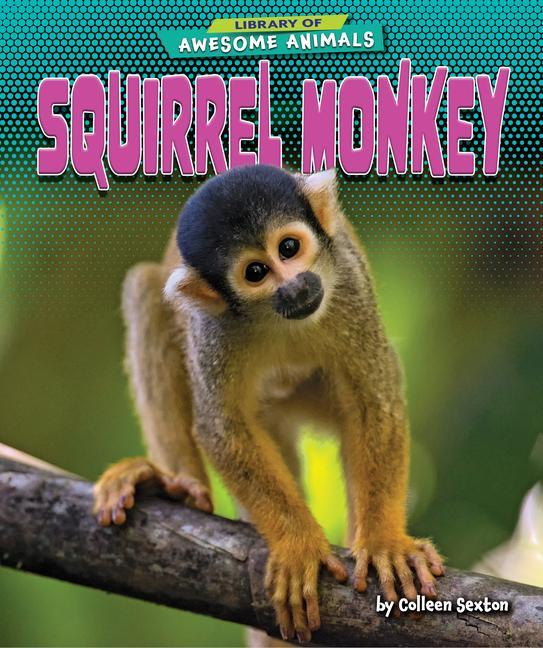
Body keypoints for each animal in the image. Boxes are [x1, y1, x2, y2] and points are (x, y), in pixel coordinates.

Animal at [94, 164, 444, 644]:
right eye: (256, 272)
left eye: (289, 248)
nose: (294, 287)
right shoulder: (212, 329)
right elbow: (221, 428)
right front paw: (297, 545)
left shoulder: (349, 285)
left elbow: (374, 401)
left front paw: (384, 542)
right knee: (143, 290)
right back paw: (176, 483)